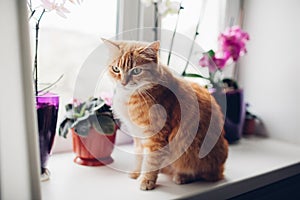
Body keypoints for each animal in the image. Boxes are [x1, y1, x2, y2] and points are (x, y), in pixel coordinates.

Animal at [102, 39, 229, 191]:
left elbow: (150, 161)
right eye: (116, 69)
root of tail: (221, 168)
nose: (123, 83)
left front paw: (146, 180)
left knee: (203, 173)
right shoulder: (137, 136)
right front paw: (136, 172)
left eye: (136, 71)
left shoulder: (156, 137)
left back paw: (182, 177)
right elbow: (139, 156)